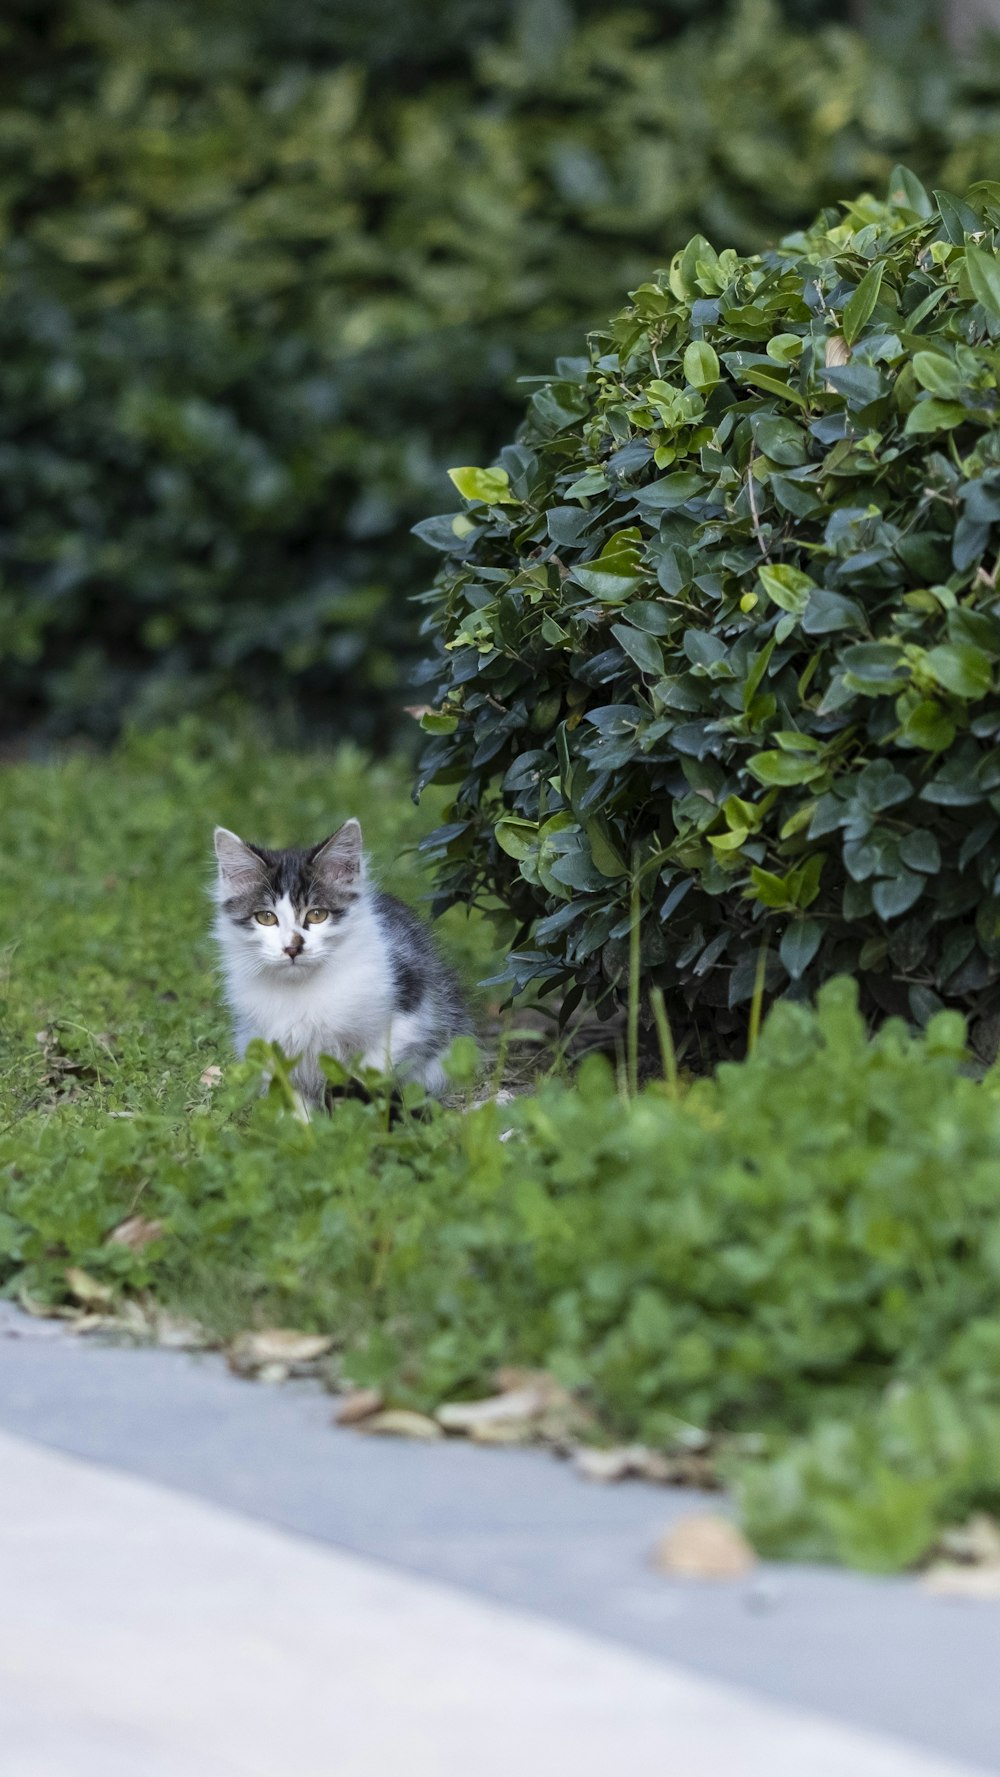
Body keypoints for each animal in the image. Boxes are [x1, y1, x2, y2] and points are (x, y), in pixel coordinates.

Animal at [213, 820, 472, 1101]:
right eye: (266, 918)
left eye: (317, 915)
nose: (293, 947)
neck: (302, 989)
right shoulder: (269, 1046)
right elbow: (290, 1094)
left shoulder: (410, 1012)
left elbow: (370, 1072)